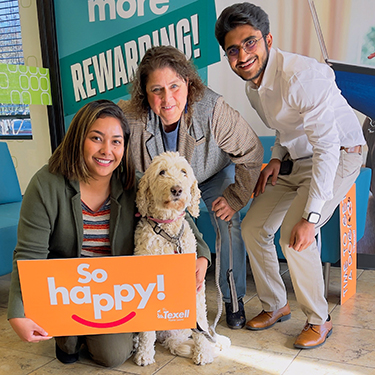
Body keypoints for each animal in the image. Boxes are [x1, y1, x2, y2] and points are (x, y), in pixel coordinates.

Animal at [134, 151, 231, 366]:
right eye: (162, 172)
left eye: (184, 172)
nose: (177, 189)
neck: (169, 233)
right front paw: (144, 353)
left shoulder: (194, 283)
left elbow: (201, 322)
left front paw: (203, 353)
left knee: (202, 328)